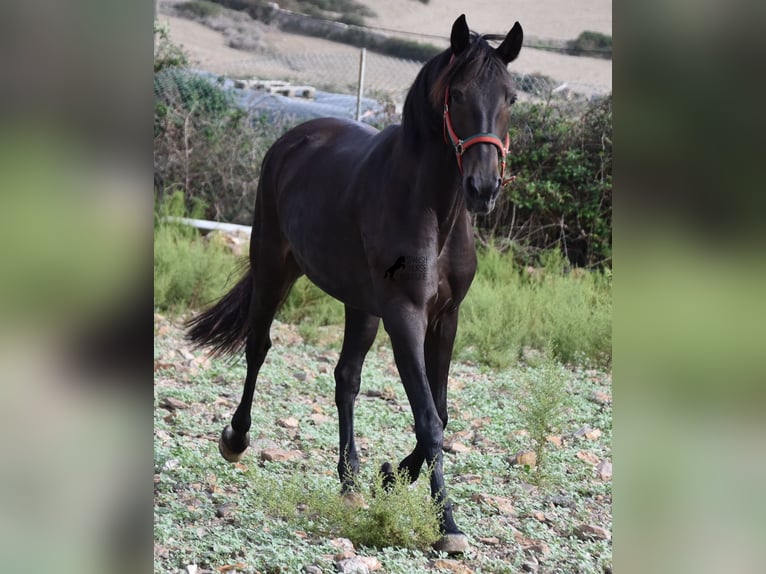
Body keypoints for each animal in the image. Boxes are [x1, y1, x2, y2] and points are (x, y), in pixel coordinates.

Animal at [190, 13, 528, 552]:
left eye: (511, 98)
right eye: (457, 95)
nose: (483, 188)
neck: (431, 210)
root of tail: (294, 138)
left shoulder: (445, 318)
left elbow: (441, 412)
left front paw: (390, 476)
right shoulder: (405, 316)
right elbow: (428, 417)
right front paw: (447, 523)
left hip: (361, 305)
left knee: (346, 377)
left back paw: (349, 480)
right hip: (274, 267)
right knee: (258, 346)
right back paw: (236, 440)